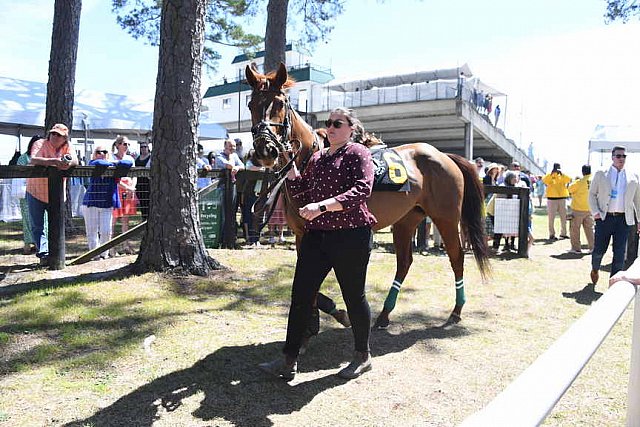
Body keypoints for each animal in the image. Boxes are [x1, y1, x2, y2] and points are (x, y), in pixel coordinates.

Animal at [245, 63, 490, 328]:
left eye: (280, 103)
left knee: (456, 257)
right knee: (405, 262)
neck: (312, 161)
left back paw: (456, 310)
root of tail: (445, 156)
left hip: (446, 218)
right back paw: (384, 314)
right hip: (407, 220)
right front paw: (327, 314)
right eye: (250, 104)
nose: (265, 150)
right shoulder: (303, 235)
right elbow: (306, 283)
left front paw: (338, 314)